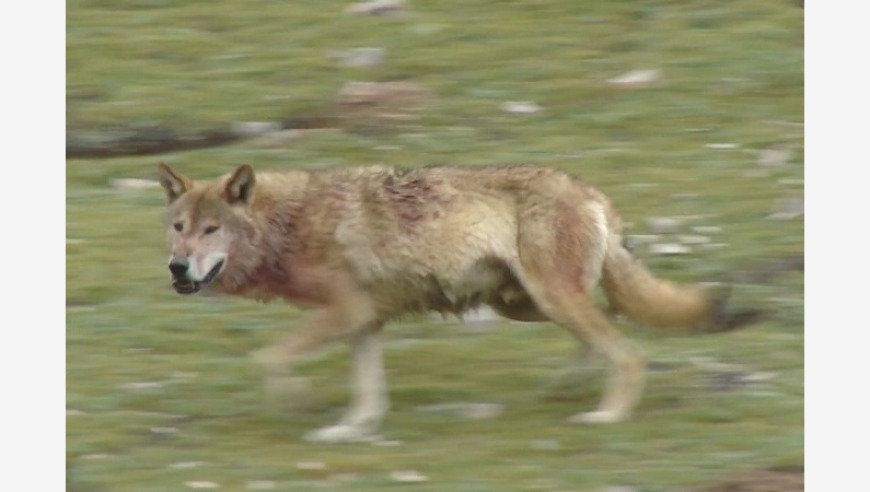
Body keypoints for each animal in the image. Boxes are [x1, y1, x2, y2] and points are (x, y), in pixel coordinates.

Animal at [158, 163, 764, 444]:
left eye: (212, 230)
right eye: (179, 228)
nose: (176, 268)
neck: (288, 225)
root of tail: (591, 192)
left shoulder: (346, 314)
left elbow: (267, 358)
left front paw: (298, 404)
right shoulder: (365, 322)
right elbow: (368, 393)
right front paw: (351, 430)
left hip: (548, 298)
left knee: (627, 349)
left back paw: (606, 414)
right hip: (525, 302)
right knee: (612, 325)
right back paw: (568, 387)